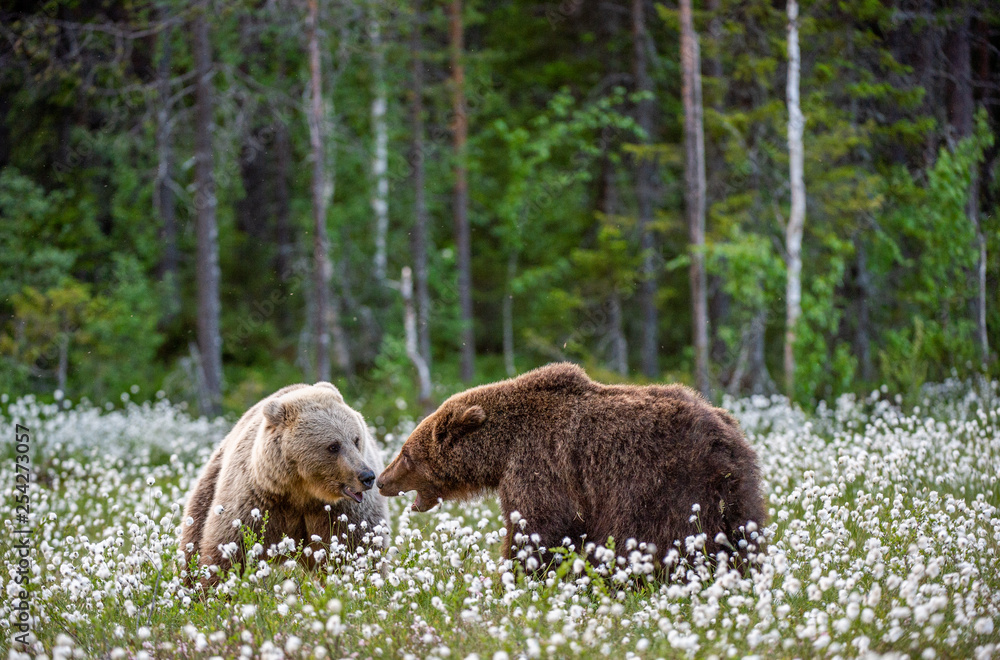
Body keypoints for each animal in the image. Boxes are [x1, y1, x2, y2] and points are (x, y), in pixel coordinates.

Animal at [179, 382, 390, 586]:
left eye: (356, 439)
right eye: (333, 446)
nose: (367, 476)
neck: (302, 491)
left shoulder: (342, 511)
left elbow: (356, 547)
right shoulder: (258, 500)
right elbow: (232, 549)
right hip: (210, 483)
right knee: (193, 539)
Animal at [377, 363, 765, 572]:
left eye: (406, 454)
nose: (381, 480)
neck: (502, 449)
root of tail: (730, 436)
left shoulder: (538, 464)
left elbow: (538, 523)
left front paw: (517, 575)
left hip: (670, 484)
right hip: (736, 492)